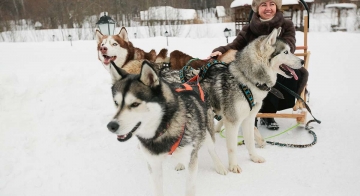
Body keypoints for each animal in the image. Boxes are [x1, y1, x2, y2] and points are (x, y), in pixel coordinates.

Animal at [105, 60, 228, 195]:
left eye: (135, 104)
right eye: (116, 103)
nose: (111, 126)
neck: (163, 129)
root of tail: (194, 82)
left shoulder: (191, 162)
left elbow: (189, 187)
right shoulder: (154, 164)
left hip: (206, 132)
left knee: (212, 149)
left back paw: (219, 166)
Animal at [198, 28, 306, 173]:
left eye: (290, 50)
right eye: (285, 52)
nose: (302, 62)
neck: (247, 81)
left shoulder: (248, 119)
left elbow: (250, 141)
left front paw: (254, 157)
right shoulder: (233, 122)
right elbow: (232, 147)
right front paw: (233, 166)